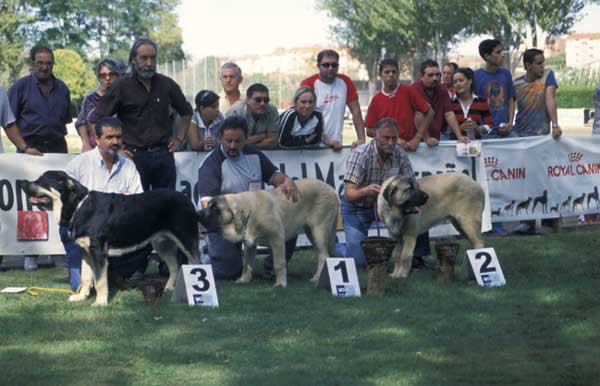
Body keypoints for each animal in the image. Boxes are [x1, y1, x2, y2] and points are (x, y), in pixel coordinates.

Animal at [24, 170, 200, 306]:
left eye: (41, 181)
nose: (23, 183)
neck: (79, 206)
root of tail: (187, 198)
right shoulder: (86, 252)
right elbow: (86, 278)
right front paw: (81, 297)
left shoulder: (98, 252)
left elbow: (100, 281)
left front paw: (100, 302)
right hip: (162, 244)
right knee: (174, 266)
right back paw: (169, 288)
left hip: (186, 239)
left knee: (195, 262)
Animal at [199, 179, 340, 284]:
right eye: (209, 205)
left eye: (215, 208)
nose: (199, 213)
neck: (249, 213)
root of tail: (332, 189)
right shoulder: (250, 244)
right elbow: (247, 263)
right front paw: (244, 279)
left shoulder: (277, 239)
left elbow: (279, 263)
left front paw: (280, 283)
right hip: (311, 233)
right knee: (322, 254)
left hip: (318, 230)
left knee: (324, 256)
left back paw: (316, 278)